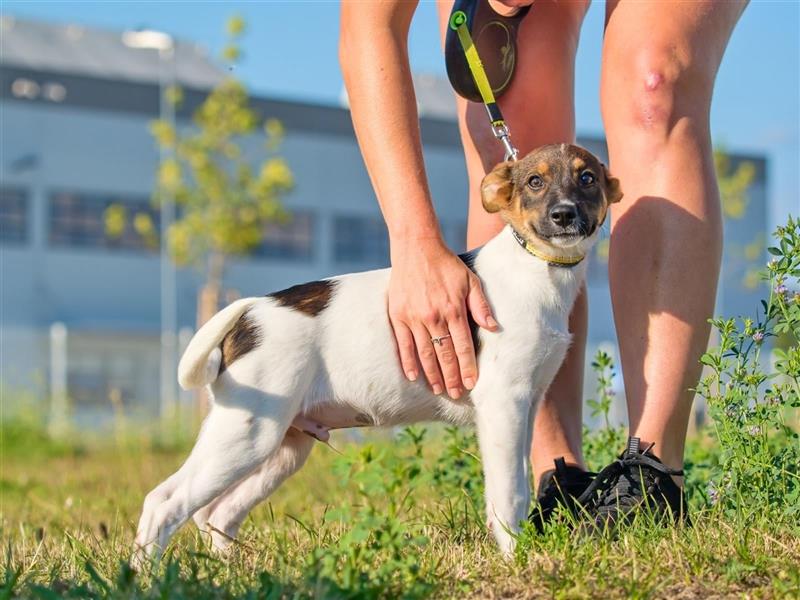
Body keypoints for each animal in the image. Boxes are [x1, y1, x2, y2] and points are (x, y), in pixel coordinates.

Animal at [131, 143, 620, 560]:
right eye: (535, 181)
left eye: (588, 179)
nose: (564, 215)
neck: (537, 268)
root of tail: (251, 308)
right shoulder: (504, 404)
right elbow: (508, 493)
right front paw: (514, 557)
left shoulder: (526, 405)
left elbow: (518, 478)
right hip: (246, 434)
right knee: (164, 502)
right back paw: (145, 575)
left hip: (282, 446)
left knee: (217, 513)